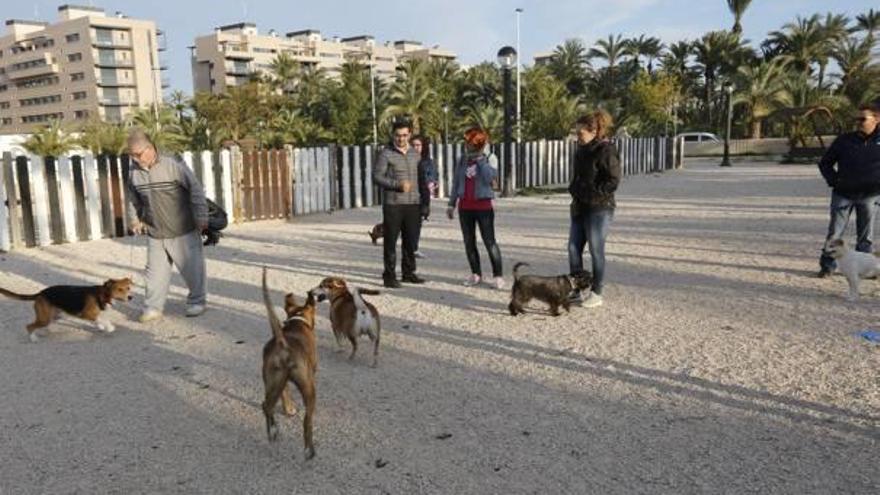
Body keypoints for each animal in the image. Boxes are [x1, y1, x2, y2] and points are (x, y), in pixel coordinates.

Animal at [0, 278, 134, 342]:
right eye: (119, 289)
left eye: (128, 288)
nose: (131, 297)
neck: (102, 294)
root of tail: (41, 293)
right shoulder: (86, 314)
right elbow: (102, 319)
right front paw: (109, 327)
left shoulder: (92, 315)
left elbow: (99, 320)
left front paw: (101, 327)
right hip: (44, 318)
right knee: (29, 326)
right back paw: (33, 338)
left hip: (55, 315)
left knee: (46, 324)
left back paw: (47, 331)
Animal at [262, 268, 320, 462]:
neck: (298, 320)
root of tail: (283, 343)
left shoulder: (280, 382)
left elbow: (285, 393)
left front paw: (288, 409)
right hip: (309, 388)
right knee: (307, 421)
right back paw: (309, 450)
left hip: (272, 380)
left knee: (266, 406)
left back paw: (272, 431)